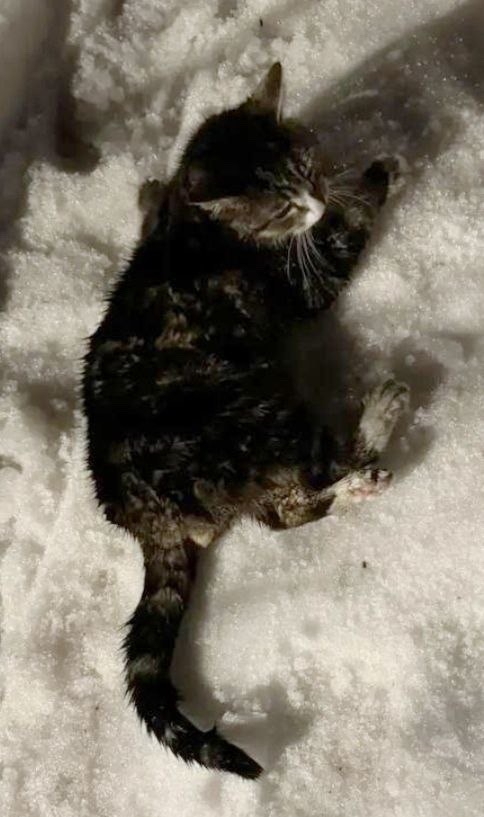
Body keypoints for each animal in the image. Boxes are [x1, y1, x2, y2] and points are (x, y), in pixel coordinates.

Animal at [82, 62, 408, 779]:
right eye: (283, 205)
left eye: (307, 164)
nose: (318, 195)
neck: (196, 225)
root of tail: (145, 519)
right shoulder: (298, 281)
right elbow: (337, 250)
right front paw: (380, 173)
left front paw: (146, 191)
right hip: (249, 419)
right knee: (305, 485)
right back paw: (379, 421)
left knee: (284, 512)